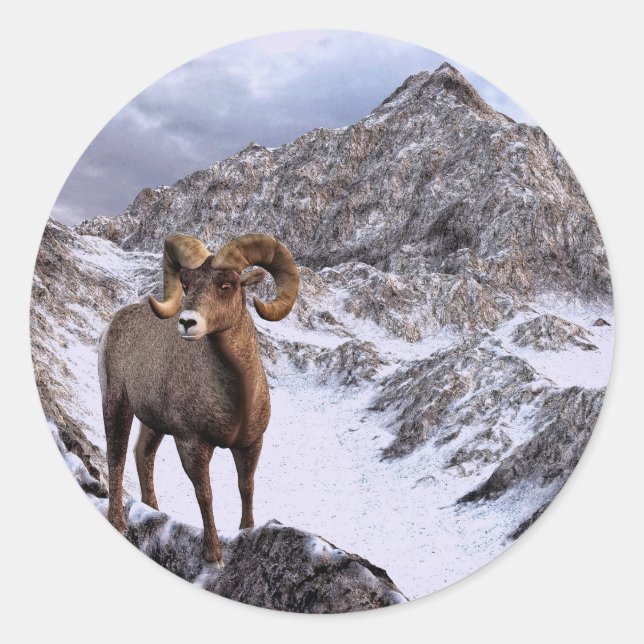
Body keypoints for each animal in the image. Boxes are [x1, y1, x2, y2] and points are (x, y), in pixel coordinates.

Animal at [98, 232, 299, 568]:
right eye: (187, 284)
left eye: (227, 285)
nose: (187, 323)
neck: (236, 398)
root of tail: (113, 323)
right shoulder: (192, 445)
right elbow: (205, 495)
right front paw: (214, 556)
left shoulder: (250, 444)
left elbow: (246, 486)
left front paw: (247, 531)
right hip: (116, 403)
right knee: (117, 456)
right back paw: (119, 524)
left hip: (154, 424)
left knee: (142, 454)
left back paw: (155, 510)